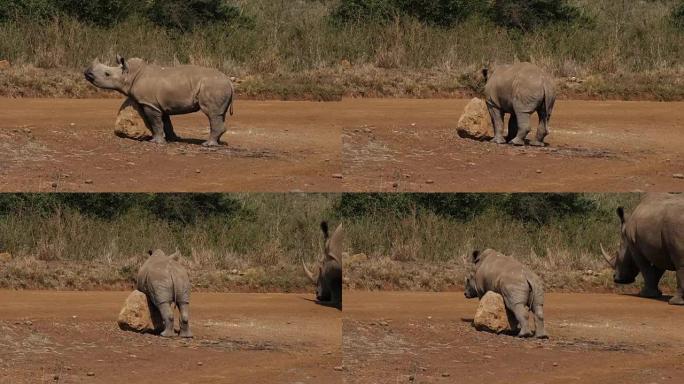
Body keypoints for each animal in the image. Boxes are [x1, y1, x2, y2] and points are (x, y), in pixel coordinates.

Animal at [84, 55, 235, 147]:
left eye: (107, 74)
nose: (87, 73)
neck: (130, 75)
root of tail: (229, 80)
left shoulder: (150, 104)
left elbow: (155, 122)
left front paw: (155, 142)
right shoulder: (160, 104)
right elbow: (166, 122)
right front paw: (172, 139)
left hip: (214, 86)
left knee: (212, 113)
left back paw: (208, 144)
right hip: (218, 86)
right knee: (219, 114)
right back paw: (217, 143)